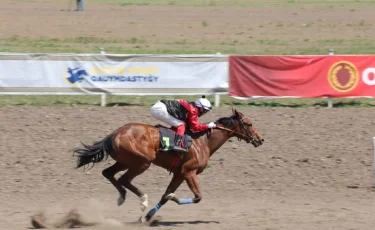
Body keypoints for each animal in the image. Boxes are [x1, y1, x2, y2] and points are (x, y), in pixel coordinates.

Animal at [74, 109, 264, 223]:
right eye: (249, 124)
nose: (260, 139)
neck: (202, 141)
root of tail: (114, 134)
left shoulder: (179, 173)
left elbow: (165, 196)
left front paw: (149, 216)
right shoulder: (189, 172)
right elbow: (197, 197)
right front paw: (172, 199)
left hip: (124, 160)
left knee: (108, 173)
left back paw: (122, 197)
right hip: (142, 161)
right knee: (124, 179)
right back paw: (142, 200)